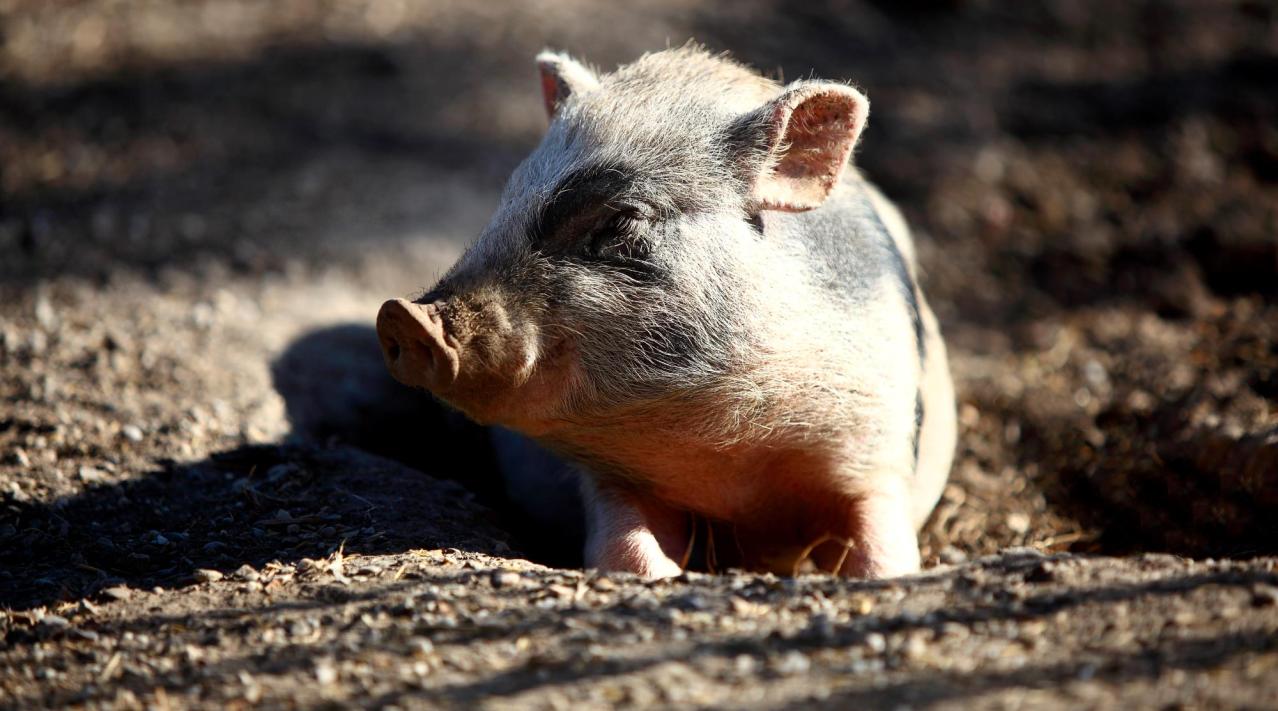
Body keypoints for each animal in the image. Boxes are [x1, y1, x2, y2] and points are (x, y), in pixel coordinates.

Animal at [373, 44, 955, 580]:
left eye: (622, 223)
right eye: (506, 202)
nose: (403, 314)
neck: (738, 471)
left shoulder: (878, 447)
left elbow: (885, 554)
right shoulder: (609, 478)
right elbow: (625, 554)